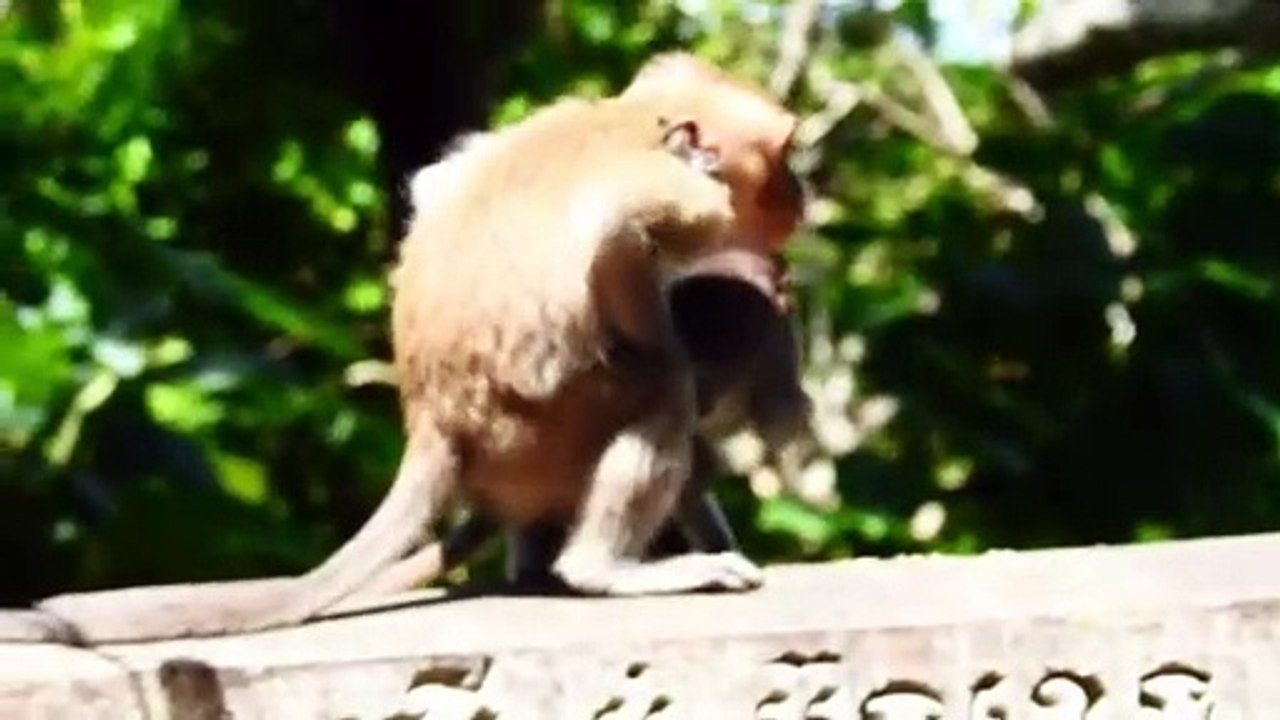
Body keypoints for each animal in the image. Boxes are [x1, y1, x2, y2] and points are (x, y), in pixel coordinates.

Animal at [0, 52, 806, 644]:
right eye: (782, 160)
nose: (799, 194)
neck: (631, 121)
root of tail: (434, 429)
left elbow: (439, 182)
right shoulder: (686, 198)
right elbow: (620, 236)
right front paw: (664, 333)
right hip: (547, 433)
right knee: (661, 392)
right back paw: (603, 565)